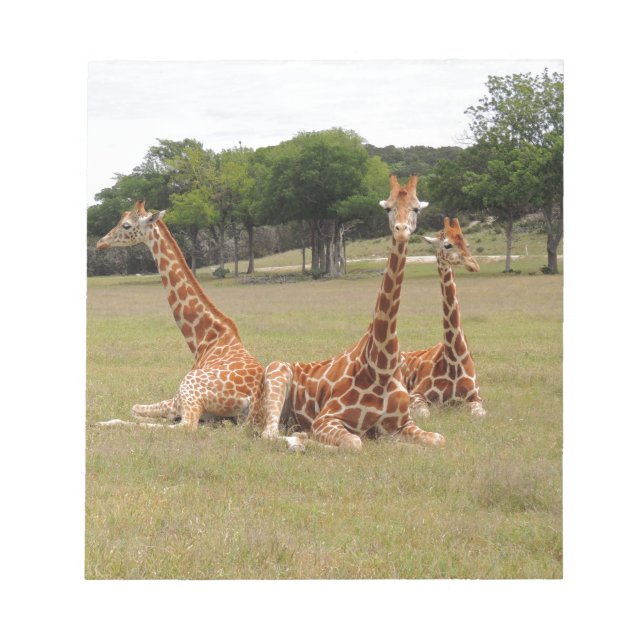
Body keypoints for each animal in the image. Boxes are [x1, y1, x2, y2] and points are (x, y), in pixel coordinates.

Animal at [95, 200, 265, 431]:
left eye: (126, 225)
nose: (100, 243)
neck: (204, 339)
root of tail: (251, 399)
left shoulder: (178, 399)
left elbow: (134, 408)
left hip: (189, 389)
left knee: (185, 426)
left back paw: (105, 422)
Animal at [260, 175, 446, 451]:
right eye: (388, 208)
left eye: (416, 208)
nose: (401, 231)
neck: (381, 367)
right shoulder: (326, 418)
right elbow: (354, 443)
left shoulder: (401, 424)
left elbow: (438, 439)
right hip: (277, 373)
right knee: (269, 434)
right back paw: (300, 440)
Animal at [401, 217, 486, 418]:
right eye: (447, 245)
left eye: (466, 243)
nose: (474, 265)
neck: (454, 359)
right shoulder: (416, 394)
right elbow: (424, 414)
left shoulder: (476, 397)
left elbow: (478, 415)